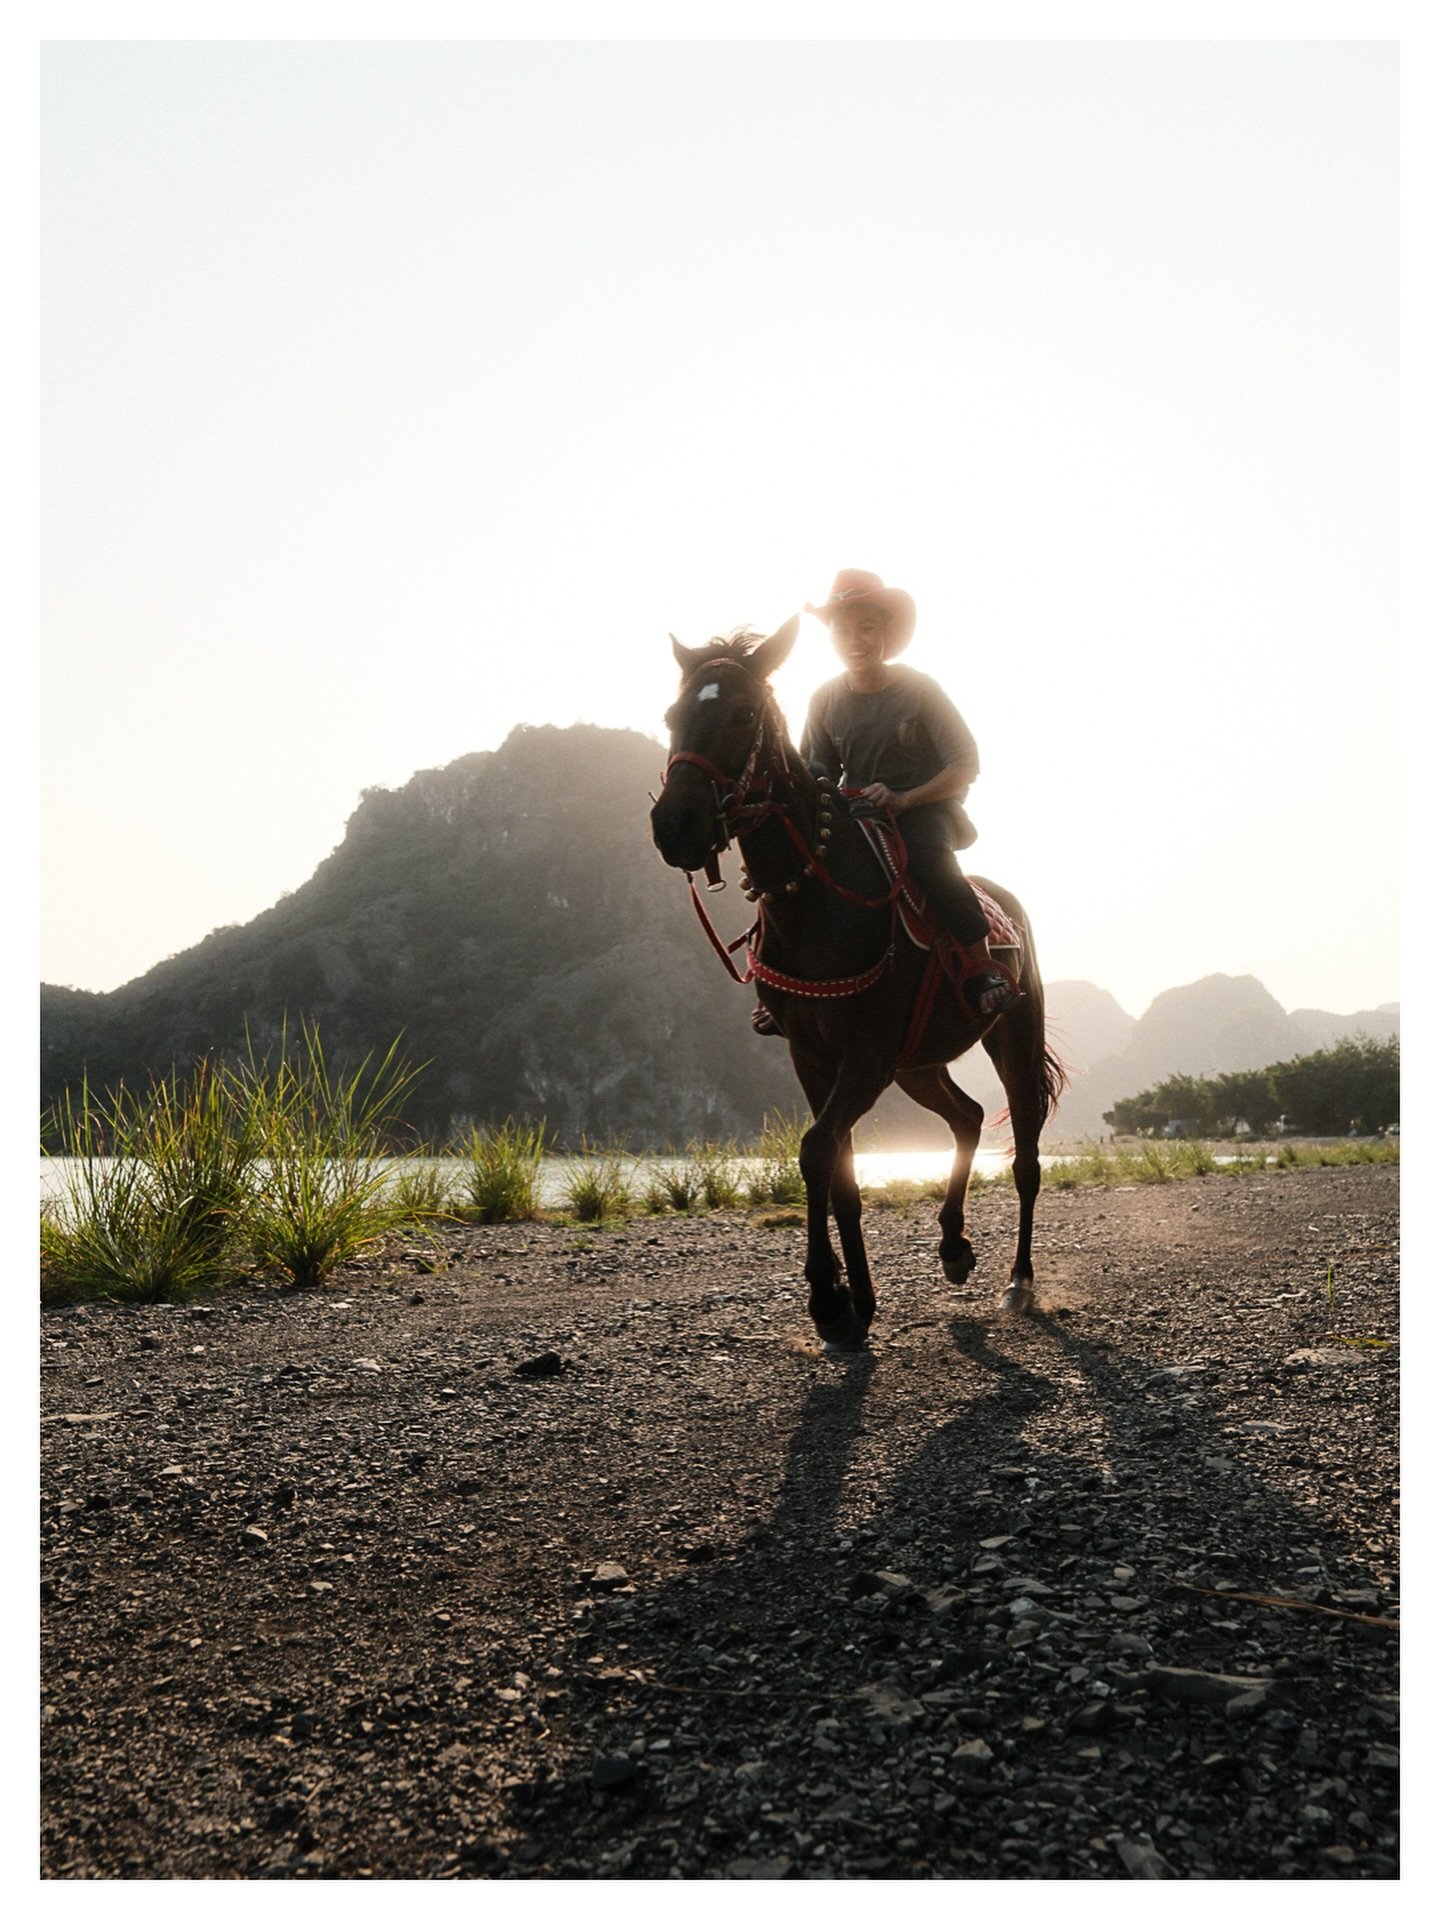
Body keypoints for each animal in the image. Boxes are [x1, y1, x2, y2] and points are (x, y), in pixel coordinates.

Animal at [650, 616, 1066, 1351]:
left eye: (744, 714)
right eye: (673, 716)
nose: (675, 825)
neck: (817, 897)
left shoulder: (865, 1059)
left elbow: (817, 1151)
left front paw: (828, 1297)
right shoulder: (814, 1056)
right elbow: (839, 1169)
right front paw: (856, 1301)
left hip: (1011, 1035)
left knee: (1024, 1157)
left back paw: (1018, 1279)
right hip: (918, 1064)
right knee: (966, 1116)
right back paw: (953, 1245)